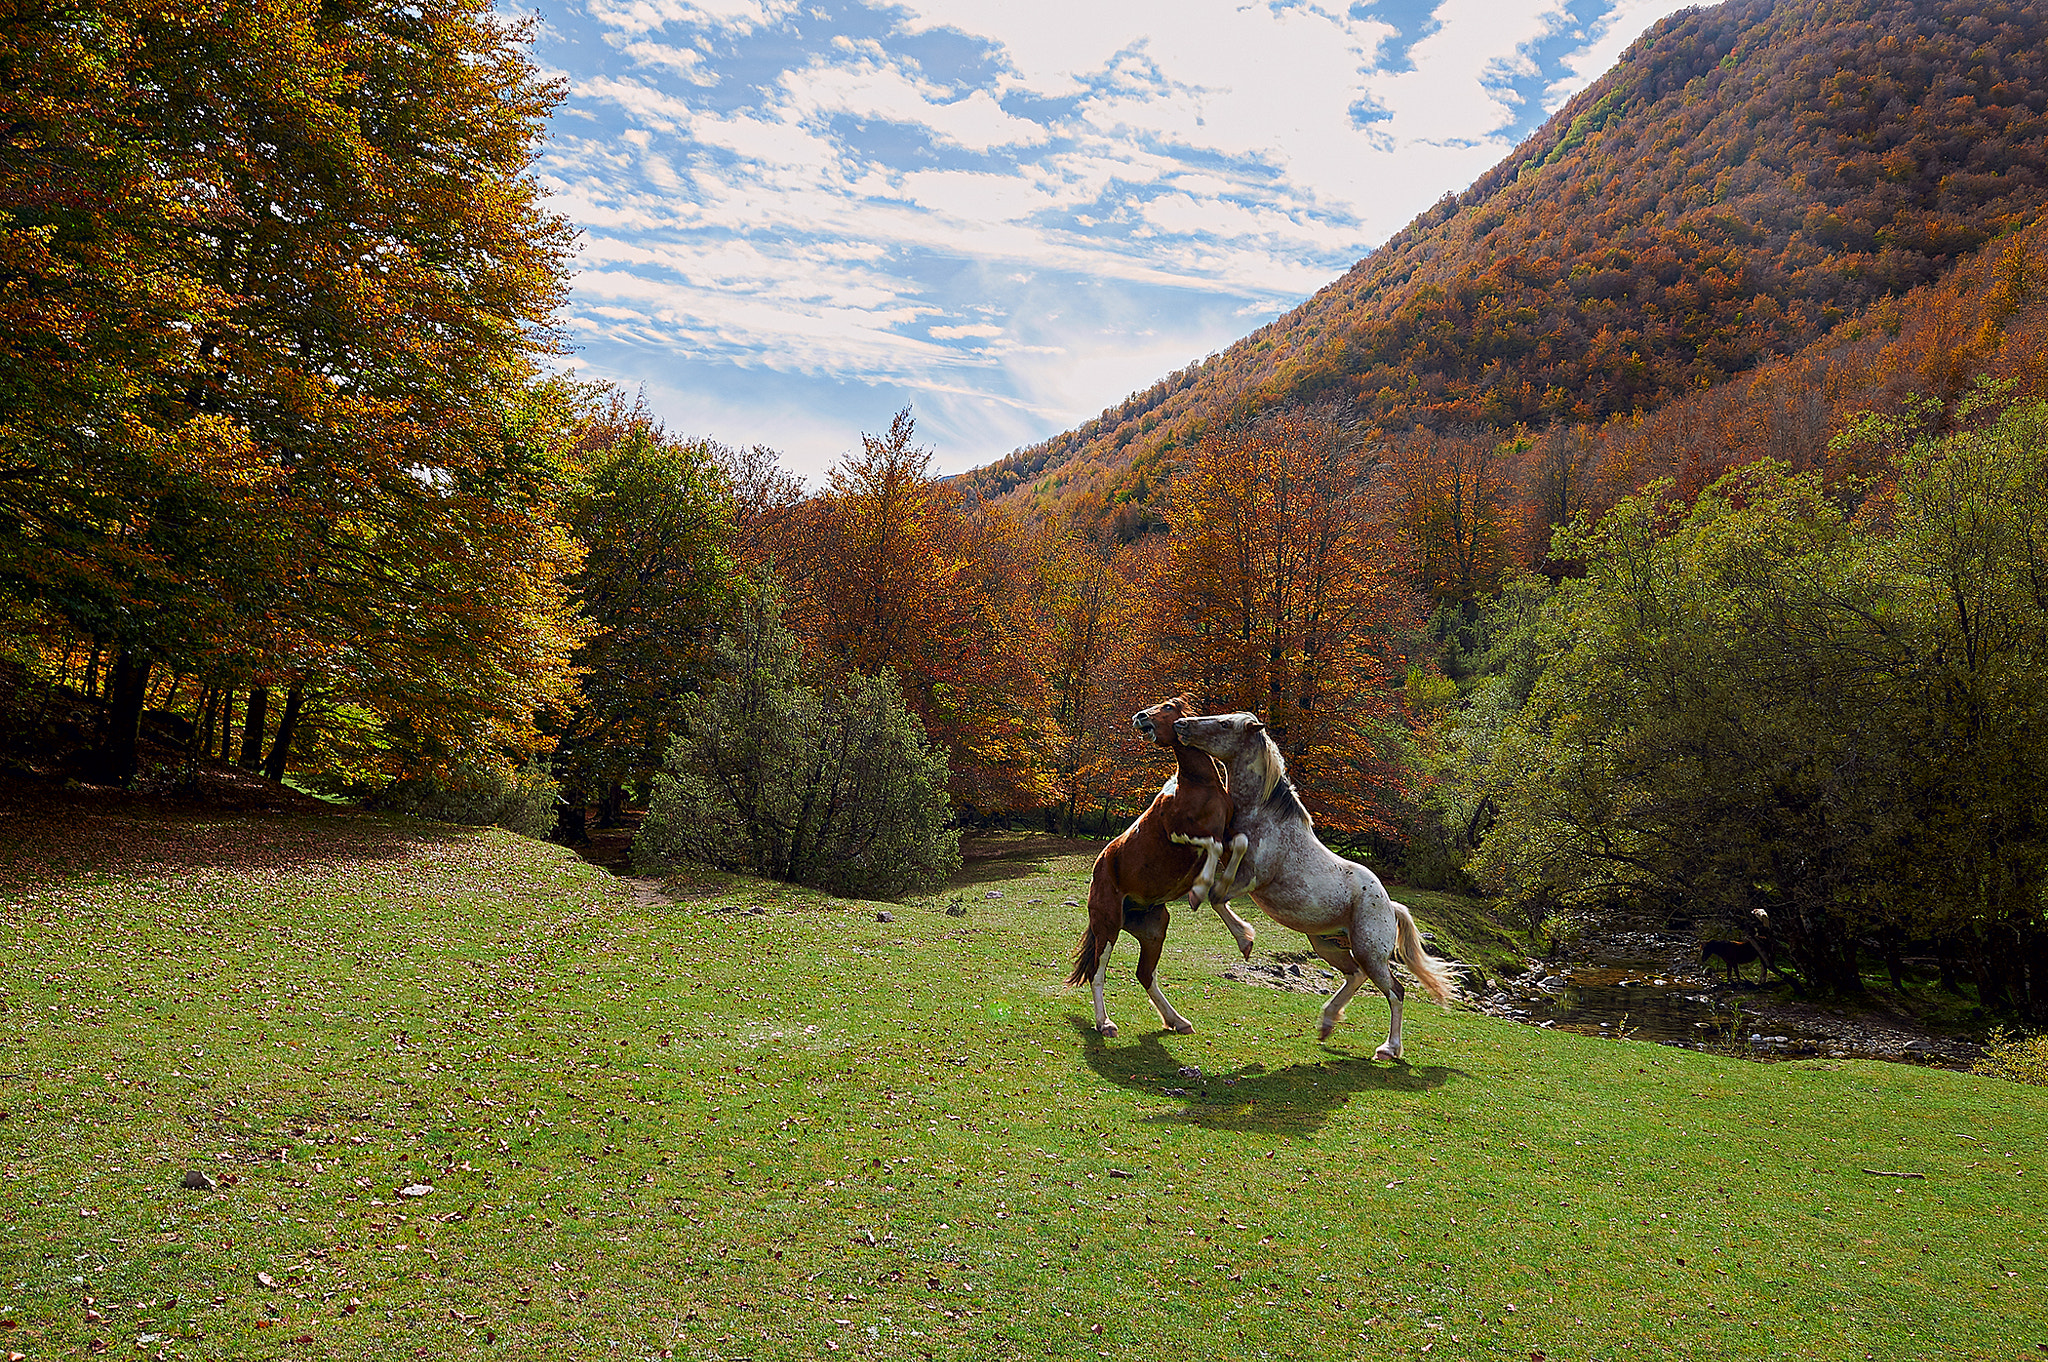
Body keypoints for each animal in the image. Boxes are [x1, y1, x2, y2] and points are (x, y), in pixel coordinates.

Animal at [1068, 696, 1256, 1037]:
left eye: (1168, 706)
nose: (1140, 716)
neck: (1199, 786)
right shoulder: (1179, 834)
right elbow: (1212, 849)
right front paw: (1198, 891)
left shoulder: (1226, 832)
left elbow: (1239, 844)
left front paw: (1243, 934)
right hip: (1108, 926)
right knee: (1098, 972)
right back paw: (1105, 1023)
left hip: (1154, 930)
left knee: (1145, 974)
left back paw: (1177, 1020)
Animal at [1172, 711, 1457, 1058]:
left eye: (1226, 724)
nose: (1181, 725)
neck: (1263, 816)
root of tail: (1390, 905)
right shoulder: (1226, 851)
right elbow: (1209, 847)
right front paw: (1183, 850)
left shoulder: (1251, 879)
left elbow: (1217, 894)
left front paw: (1243, 939)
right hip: (1327, 945)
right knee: (1355, 975)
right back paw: (1327, 1024)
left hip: (1371, 954)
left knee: (1395, 992)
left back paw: (1388, 1049)